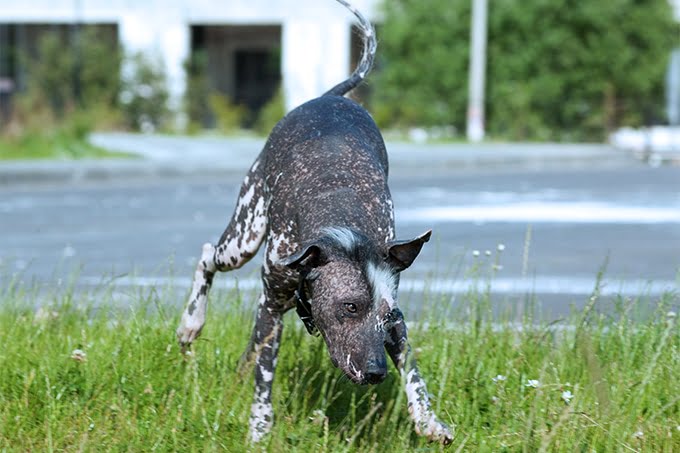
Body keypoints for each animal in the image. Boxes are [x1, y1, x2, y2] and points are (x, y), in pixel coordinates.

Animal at [175, 0, 452, 444]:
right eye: (350, 307)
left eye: (387, 314)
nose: (376, 372)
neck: (343, 225)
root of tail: (328, 97)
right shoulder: (273, 312)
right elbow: (265, 379)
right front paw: (259, 430)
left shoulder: (397, 327)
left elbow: (413, 371)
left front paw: (428, 419)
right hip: (245, 235)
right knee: (207, 257)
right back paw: (190, 324)